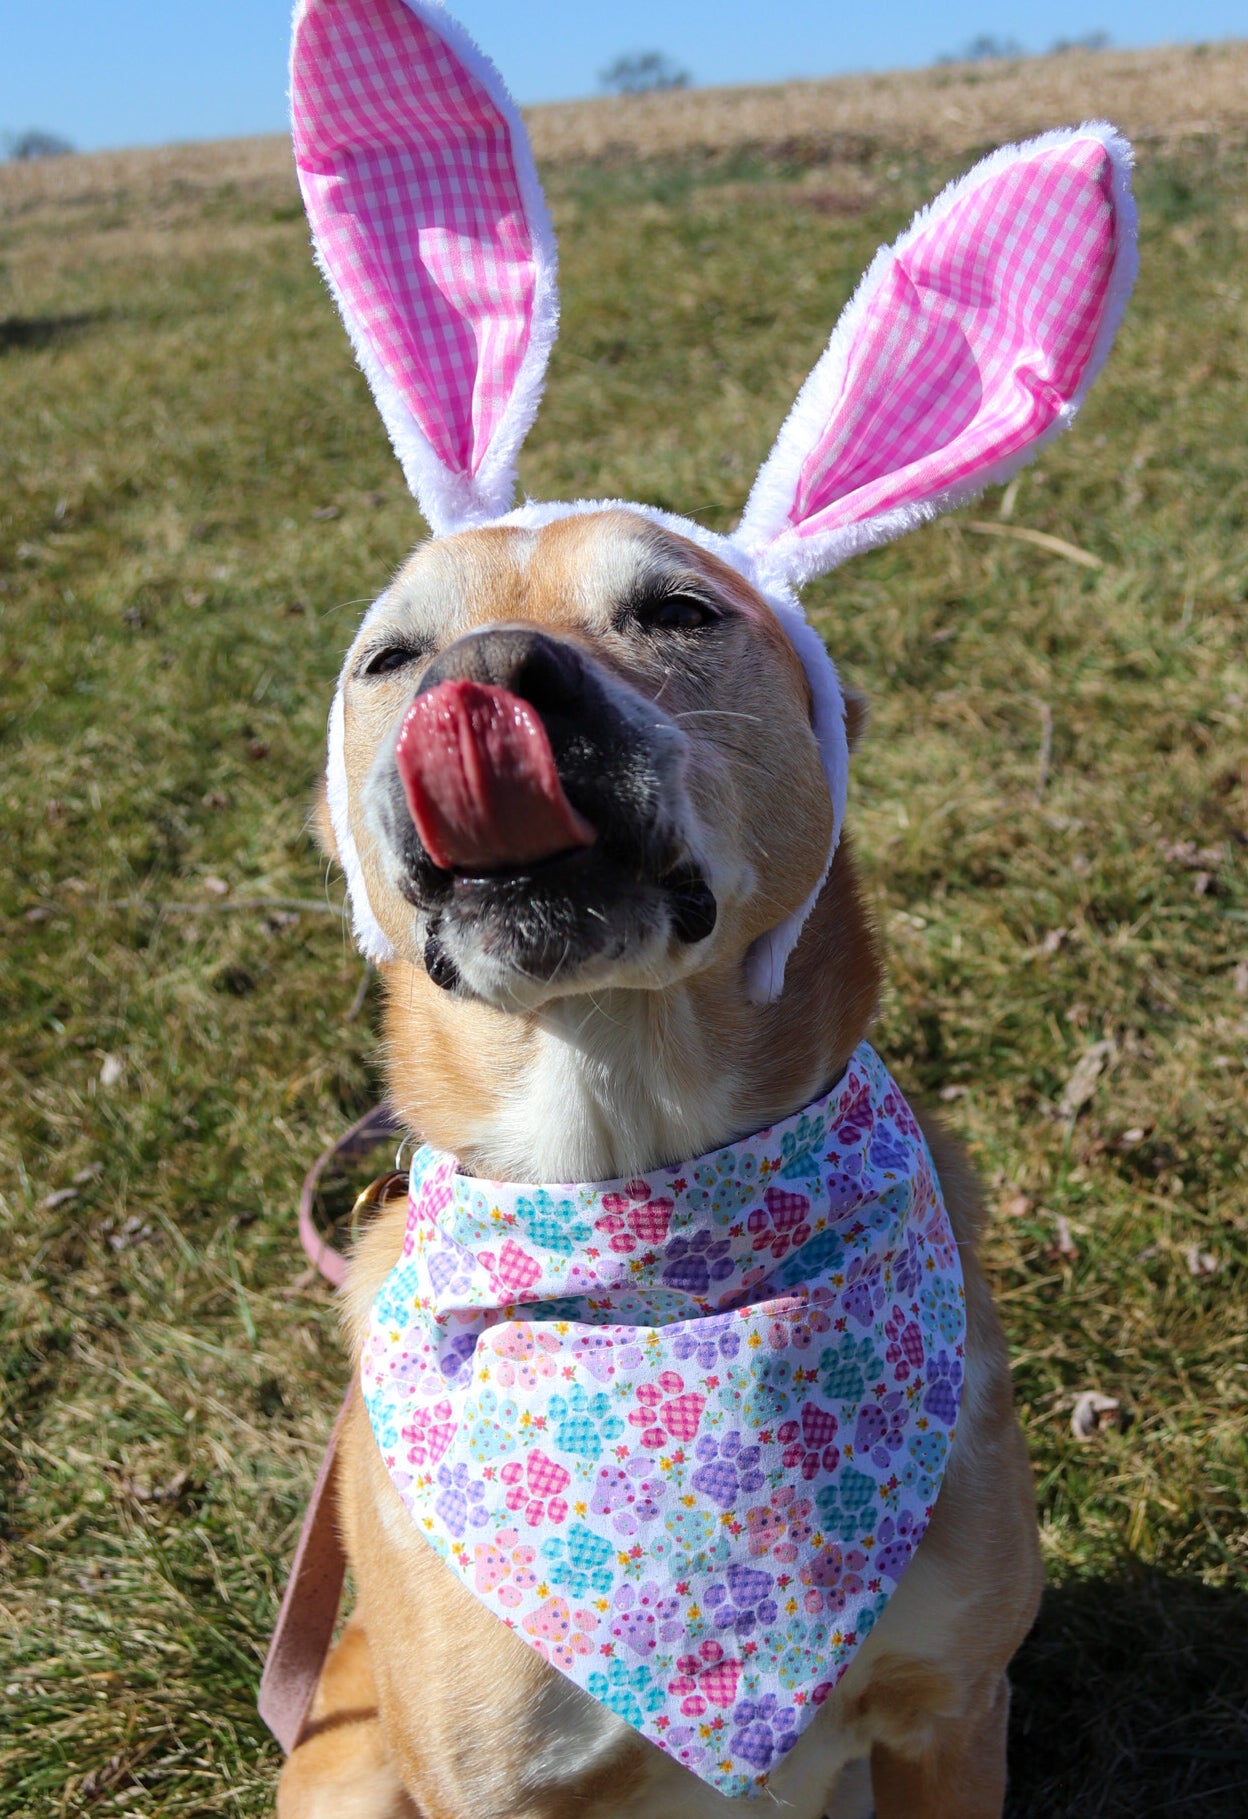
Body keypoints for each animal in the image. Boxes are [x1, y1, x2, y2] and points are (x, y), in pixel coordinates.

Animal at [276, 10, 1142, 1804]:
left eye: (675, 610)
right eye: (389, 654)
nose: (480, 683)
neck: (632, 1170)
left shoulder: (951, 1704)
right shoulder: (480, 1778)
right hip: (343, 1758)